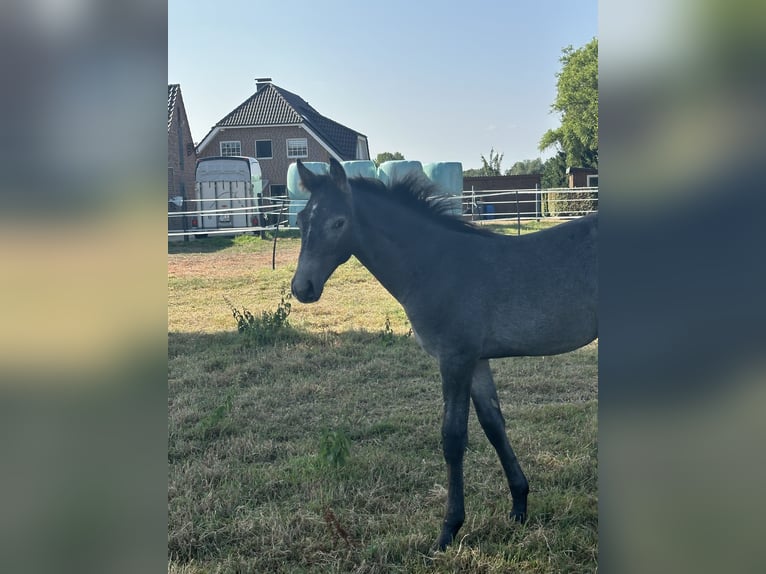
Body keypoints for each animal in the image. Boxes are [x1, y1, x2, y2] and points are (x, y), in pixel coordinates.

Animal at [290, 157, 597, 550]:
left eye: (338, 222)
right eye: (301, 221)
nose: (302, 288)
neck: (435, 265)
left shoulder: (454, 359)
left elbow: (452, 438)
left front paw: (448, 529)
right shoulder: (476, 362)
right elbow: (494, 426)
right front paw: (519, 506)